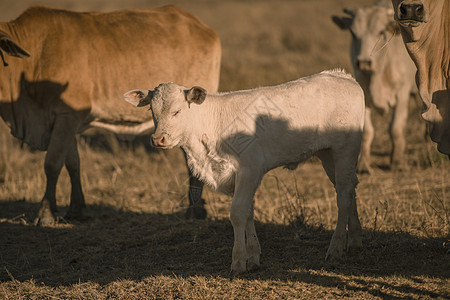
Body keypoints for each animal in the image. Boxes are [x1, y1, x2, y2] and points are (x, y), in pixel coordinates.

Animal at [0, 5, 221, 225]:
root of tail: (202, 27)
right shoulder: (67, 122)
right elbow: (72, 164)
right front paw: (76, 209)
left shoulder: (65, 117)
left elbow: (52, 164)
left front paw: (45, 213)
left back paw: (195, 211)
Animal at [123, 69, 366, 274]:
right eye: (151, 111)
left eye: (177, 111)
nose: (158, 139)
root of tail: (342, 76)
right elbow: (248, 212)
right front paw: (253, 256)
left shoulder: (249, 170)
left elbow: (238, 212)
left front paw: (238, 261)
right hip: (328, 155)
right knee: (349, 188)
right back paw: (354, 240)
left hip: (345, 150)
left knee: (343, 195)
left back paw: (336, 247)